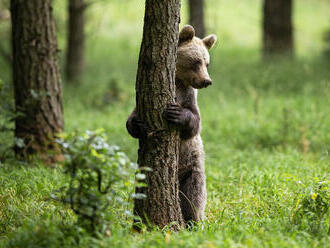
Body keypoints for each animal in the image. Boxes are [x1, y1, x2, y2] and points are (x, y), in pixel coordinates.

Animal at [125, 25, 217, 225]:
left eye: (206, 63)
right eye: (196, 62)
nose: (207, 81)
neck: (178, 82)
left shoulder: (189, 97)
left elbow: (194, 123)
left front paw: (176, 113)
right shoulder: (141, 100)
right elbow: (131, 121)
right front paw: (139, 124)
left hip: (193, 168)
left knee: (194, 196)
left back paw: (193, 221)